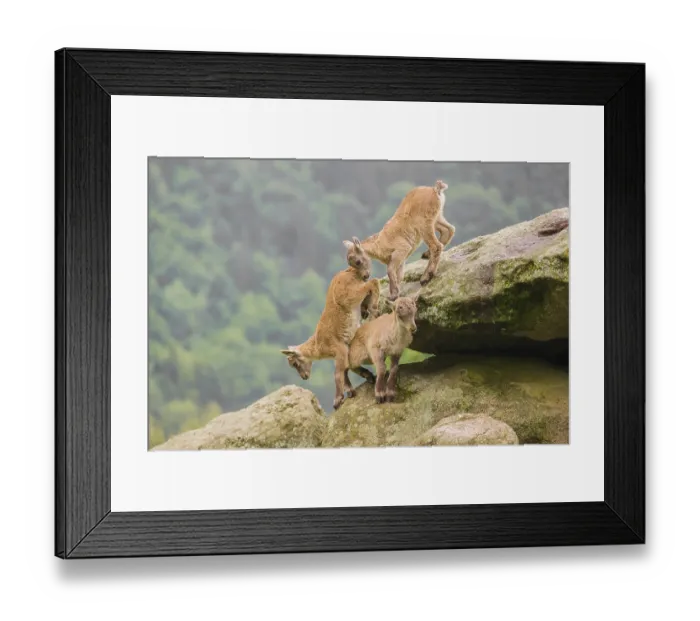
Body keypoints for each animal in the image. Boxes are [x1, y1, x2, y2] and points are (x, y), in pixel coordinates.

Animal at [281, 238, 380, 409]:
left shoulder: (339, 348)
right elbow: (347, 369)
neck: (318, 345)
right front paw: (359, 383)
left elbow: (338, 374)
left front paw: (337, 400)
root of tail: (351, 271)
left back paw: (374, 308)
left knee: (373, 282)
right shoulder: (345, 349)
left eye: (295, 363)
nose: (304, 377)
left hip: (351, 295)